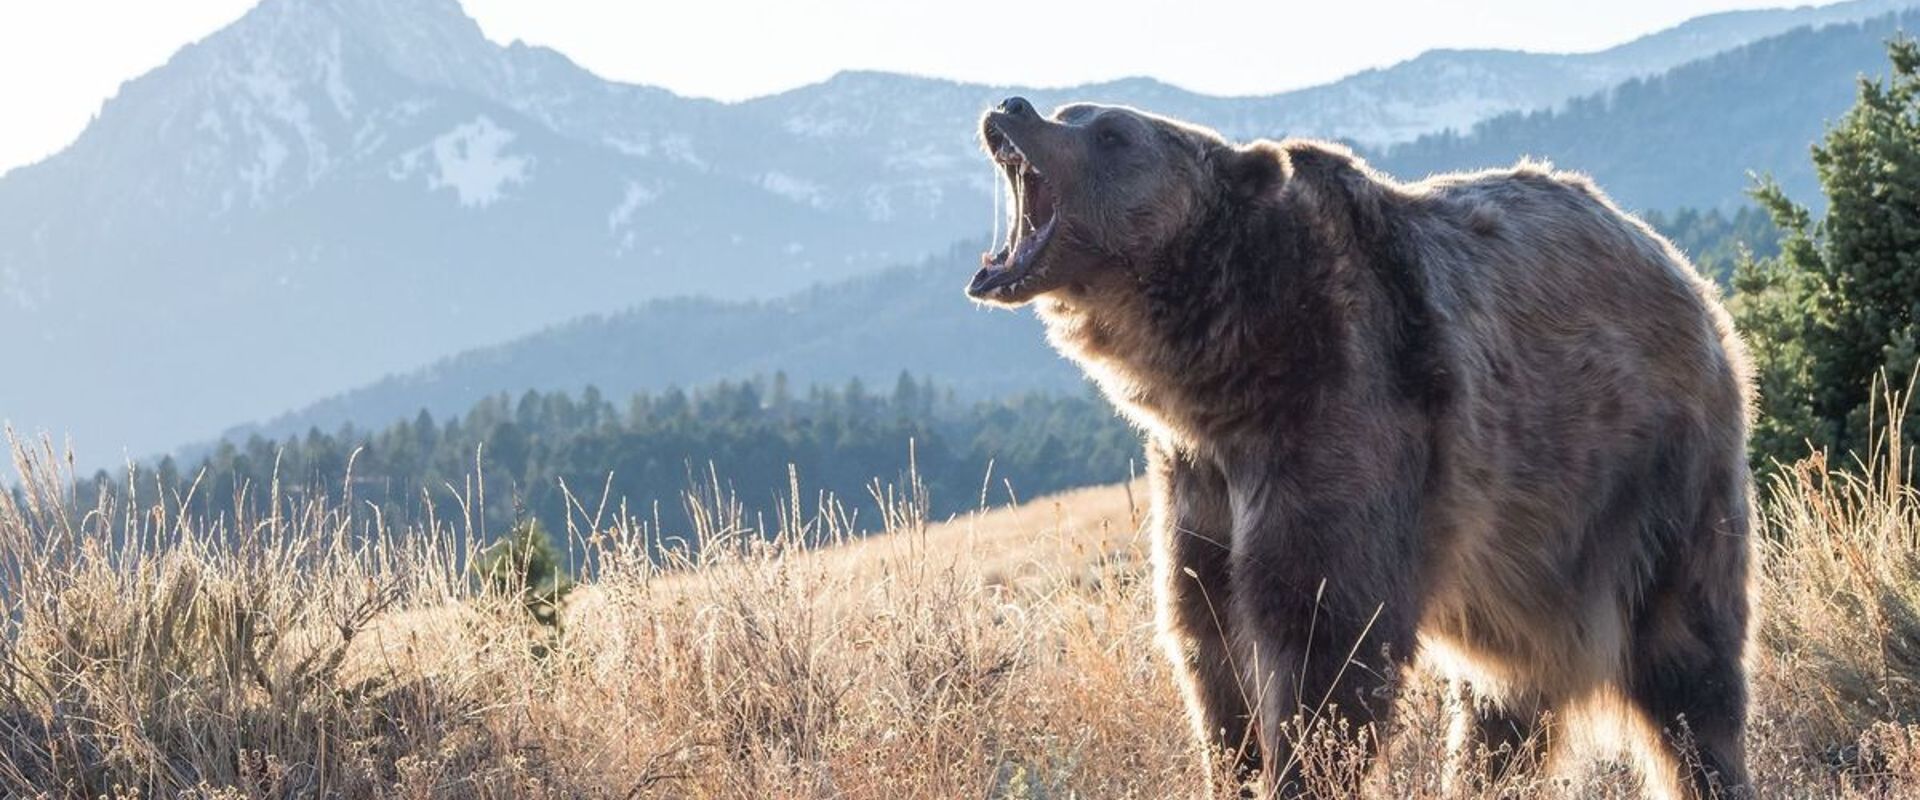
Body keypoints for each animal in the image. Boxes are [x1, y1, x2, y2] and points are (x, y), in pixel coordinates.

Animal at [965, 97, 1755, 799]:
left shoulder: (1344, 418)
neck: (1226, 372)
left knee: (1690, 664)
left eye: (1110, 131)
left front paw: (1301, 771)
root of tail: (1681, 270)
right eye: (1071, 110)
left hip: (1652, 475)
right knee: (1504, 698)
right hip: (1528, 556)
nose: (1012, 106)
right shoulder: (1199, 482)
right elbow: (1210, 651)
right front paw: (1234, 766)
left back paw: (1712, 768)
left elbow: (1325, 648)